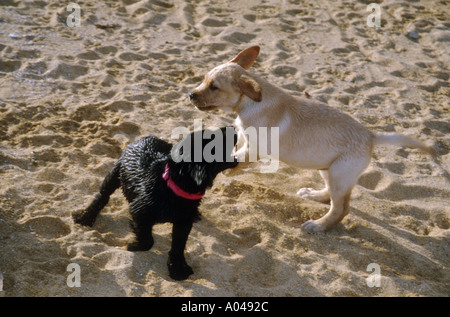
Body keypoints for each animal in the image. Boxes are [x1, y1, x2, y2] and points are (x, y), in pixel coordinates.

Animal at [72, 126, 237, 278]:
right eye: (215, 139)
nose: (233, 127)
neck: (172, 188)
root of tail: (147, 137)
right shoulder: (139, 211)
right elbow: (148, 241)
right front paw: (133, 245)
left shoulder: (184, 222)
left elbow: (179, 245)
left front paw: (177, 268)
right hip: (115, 172)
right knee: (102, 195)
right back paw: (85, 217)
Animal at [189, 45, 432, 231]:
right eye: (204, 79)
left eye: (214, 87)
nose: (191, 94)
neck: (248, 102)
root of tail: (370, 136)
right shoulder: (243, 138)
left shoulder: (254, 148)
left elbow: (237, 158)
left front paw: (226, 171)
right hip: (329, 170)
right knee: (331, 196)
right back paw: (313, 194)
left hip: (339, 174)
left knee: (341, 208)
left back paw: (319, 225)